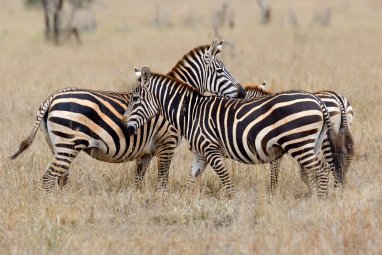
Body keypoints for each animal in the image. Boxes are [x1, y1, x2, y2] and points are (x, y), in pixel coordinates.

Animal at [9, 39, 245, 191]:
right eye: (220, 71)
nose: (242, 93)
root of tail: (51, 98)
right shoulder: (166, 143)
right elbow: (162, 181)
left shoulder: (146, 152)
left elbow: (138, 181)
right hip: (68, 144)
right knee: (49, 178)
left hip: (57, 146)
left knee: (59, 178)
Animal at [124, 66, 344, 198]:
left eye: (134, 99)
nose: (125, 127)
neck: (191, 113)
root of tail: (317, 100)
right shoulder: (200, 154)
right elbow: (190, 181)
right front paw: (183, 202)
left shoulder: (211, 150)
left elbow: (226, 180)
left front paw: (231, 205)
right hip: (311, 144)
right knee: (316, 172)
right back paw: (316, 197)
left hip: (299, 144)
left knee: (322, 169)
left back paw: (321, 201)